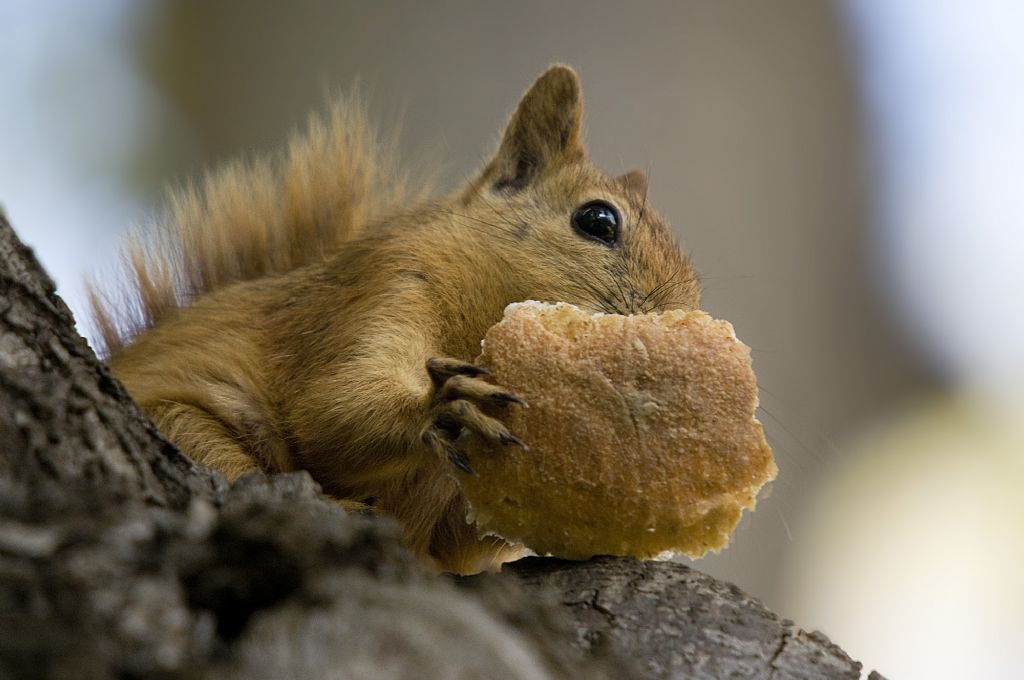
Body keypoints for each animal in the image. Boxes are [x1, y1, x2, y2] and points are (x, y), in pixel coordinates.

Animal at [94, 65, 704, 573]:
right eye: (598, 220)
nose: (675, 323)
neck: (478, 315)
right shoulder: (381, 287)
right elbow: (330, 407)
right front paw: (442, 406)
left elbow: (464, 541)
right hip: (181, 422)